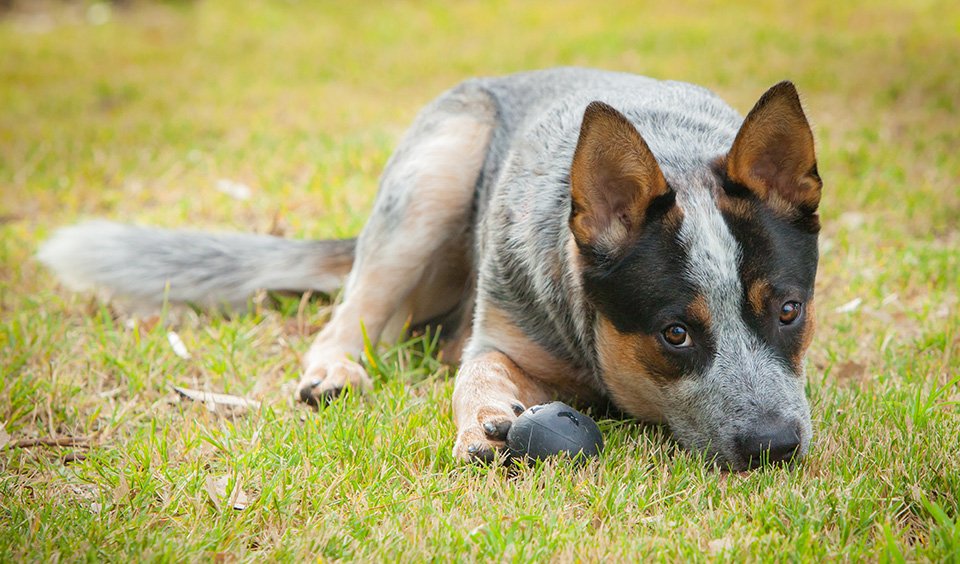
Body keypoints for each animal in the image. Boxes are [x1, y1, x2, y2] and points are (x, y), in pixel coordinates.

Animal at [37, 68, 820, 470]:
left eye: (789, 312)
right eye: (674, 335)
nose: (777, 446)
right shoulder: (501, 336)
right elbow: (475, 372)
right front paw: (480, 421)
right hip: (434, 175)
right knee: (353, 315)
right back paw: (337, 370)